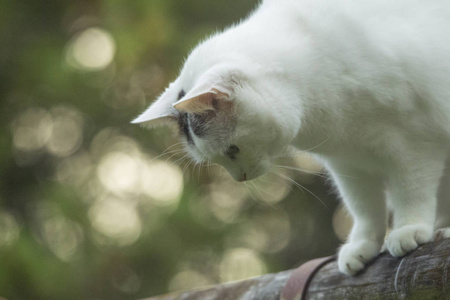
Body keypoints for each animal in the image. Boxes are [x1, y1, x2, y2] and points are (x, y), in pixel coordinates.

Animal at [132, 0, 450, 276]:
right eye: (219, 159)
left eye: (232, 150)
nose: (240, 179)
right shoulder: (347, 164)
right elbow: (364, 207)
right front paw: (362, 246)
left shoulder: (414, 146)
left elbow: (411, 191)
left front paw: (408, 229)